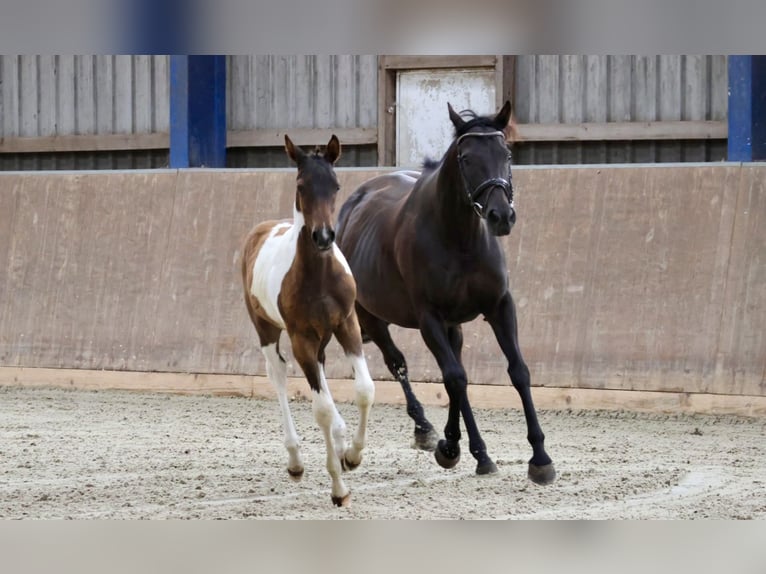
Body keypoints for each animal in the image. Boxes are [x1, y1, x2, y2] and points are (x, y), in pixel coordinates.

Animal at [238, 135, 374, 508]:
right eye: (301, 185)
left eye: (336, 185)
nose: (324, 237)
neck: (319, 275)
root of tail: (261, 229)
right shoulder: (300, 337)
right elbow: (322, 409)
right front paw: (339, 488)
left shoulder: (347, 325)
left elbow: (364, 389)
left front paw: (352, 456)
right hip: (267, 330)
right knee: (279, 374)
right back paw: (295, 460)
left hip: (321, 337)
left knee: (322, 372)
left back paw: (340, 441)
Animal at [340, 101, 556, 484]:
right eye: (466, 158)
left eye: (506, 153)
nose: (501, 216)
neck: (459, 237)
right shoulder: (430, 319)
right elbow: (454, 377)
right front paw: (458, 448)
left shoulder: (499, 307)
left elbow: (517, 371)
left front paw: (540, 458)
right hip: (372, 317)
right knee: (401, 363)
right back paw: (428, 430)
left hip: (453, 324)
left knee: (454, 370)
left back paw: (463, 446)